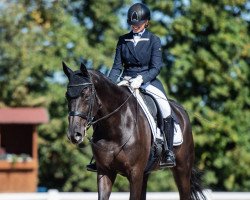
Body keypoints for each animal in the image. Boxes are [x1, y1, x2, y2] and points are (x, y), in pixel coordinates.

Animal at [63, 61, 207, 200]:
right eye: (67, 96)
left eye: (86, 95)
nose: (74, 134)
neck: (114, 129)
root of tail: (181, 110)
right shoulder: (105, 171)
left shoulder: (135, 173)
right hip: (146, 173)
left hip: (182, 170)